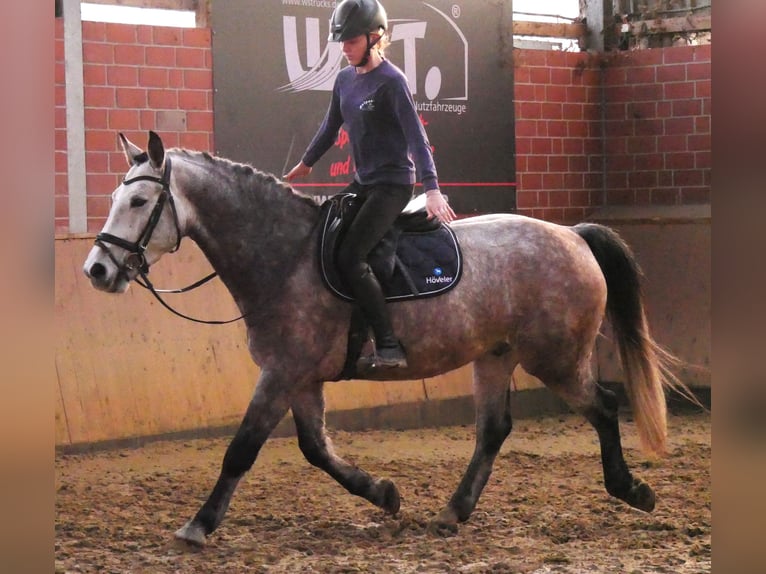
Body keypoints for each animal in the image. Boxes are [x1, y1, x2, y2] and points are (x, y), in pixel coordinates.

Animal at [83, 131, 689, 547]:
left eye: (138, 203)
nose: (97, 270)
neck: (283, 254)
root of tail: (572, 234)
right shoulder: (299, 377)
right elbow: (315, 448)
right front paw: (385, 494)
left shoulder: (281, 374)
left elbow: (242, 449)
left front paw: (199, 525)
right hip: (497, 356)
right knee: (494, 430)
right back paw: (453, 512)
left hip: (556, 358)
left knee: (604, 407)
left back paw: (632, 490)